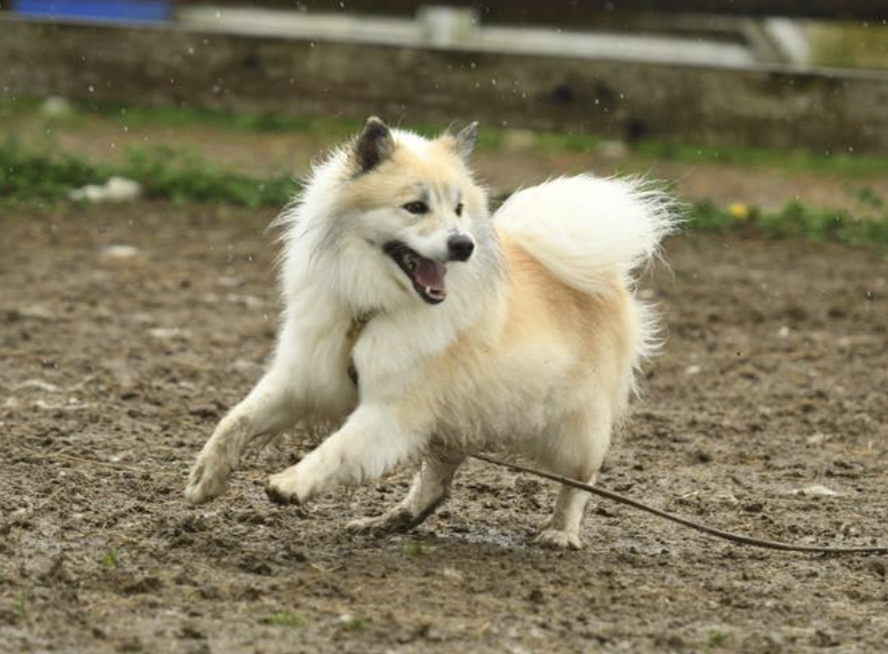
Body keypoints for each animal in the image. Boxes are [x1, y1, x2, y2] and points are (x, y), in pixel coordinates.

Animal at [184, 116, 676, 548]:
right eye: (415, 207)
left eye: (458, 209)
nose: (463, 244)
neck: (370, 308)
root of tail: (606, 277)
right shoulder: (306, 379)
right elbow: (235, 420)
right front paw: (206, 476)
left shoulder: (392, 410)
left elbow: (338, 448)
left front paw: (292, 482)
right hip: (453, 419)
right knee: (437, 485)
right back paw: (389, 520)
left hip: (571, 427)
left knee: (580, 480)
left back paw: (561, 532)